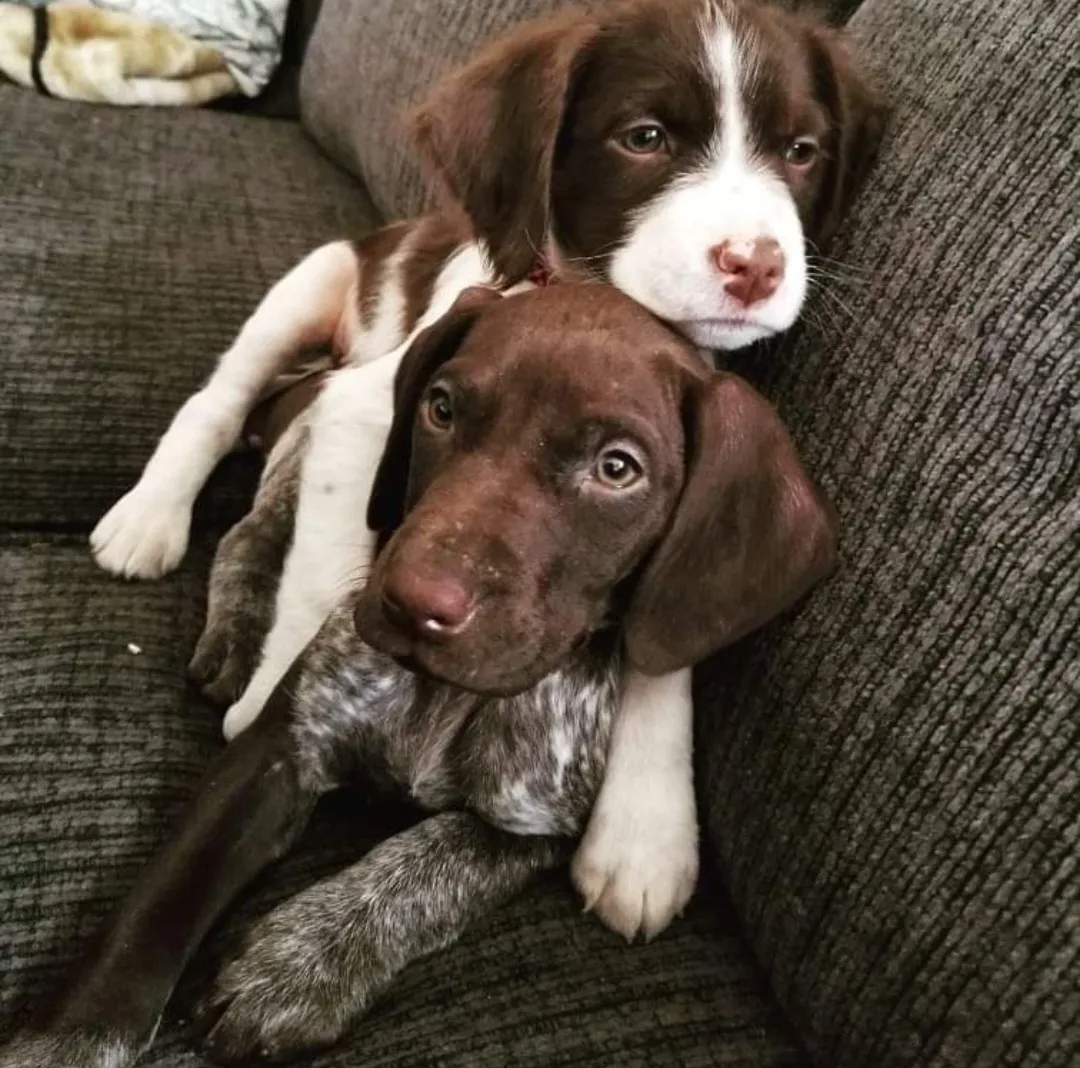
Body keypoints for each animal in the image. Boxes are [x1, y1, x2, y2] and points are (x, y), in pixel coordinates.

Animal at [0, 282, 838, 1066]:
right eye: (441, 408)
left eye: (618, 469)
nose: (411, 603)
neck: (448, 699)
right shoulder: (280, 747)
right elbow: (158, 903)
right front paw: (69, 1037)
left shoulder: (530, 825)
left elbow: (430, 867)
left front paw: (299, 963)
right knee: (249, 520)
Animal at [82, 0, 876, 933]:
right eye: (644, 138)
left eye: (802, 151)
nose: (756, 265)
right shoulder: (364, 414)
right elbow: (319, 580)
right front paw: (280, 694)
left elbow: (667, 625)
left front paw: (646, 826)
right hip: (315, 280)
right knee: (220, 401)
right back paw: (152, 515)